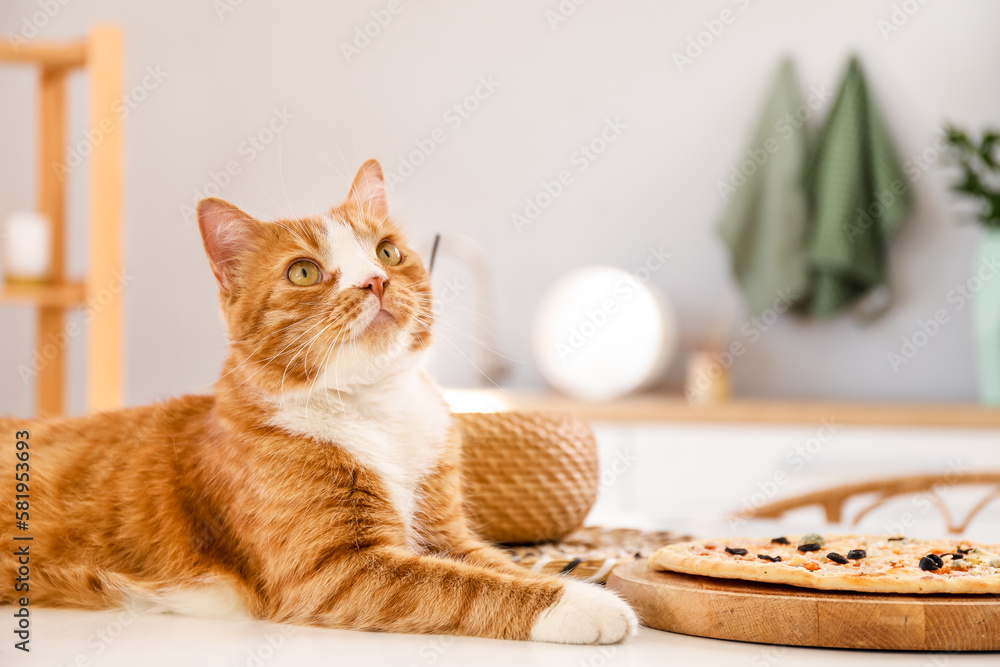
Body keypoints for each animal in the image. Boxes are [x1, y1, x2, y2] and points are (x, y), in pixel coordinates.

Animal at [0, 159, 636, 644]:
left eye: (388, 252)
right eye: (304, 272)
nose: (376, 281)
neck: (376, 409)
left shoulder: (447, 533)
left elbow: (495, 565)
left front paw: (579, 578)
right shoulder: (336, 571)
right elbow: (463, 585)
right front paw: (585, 603)